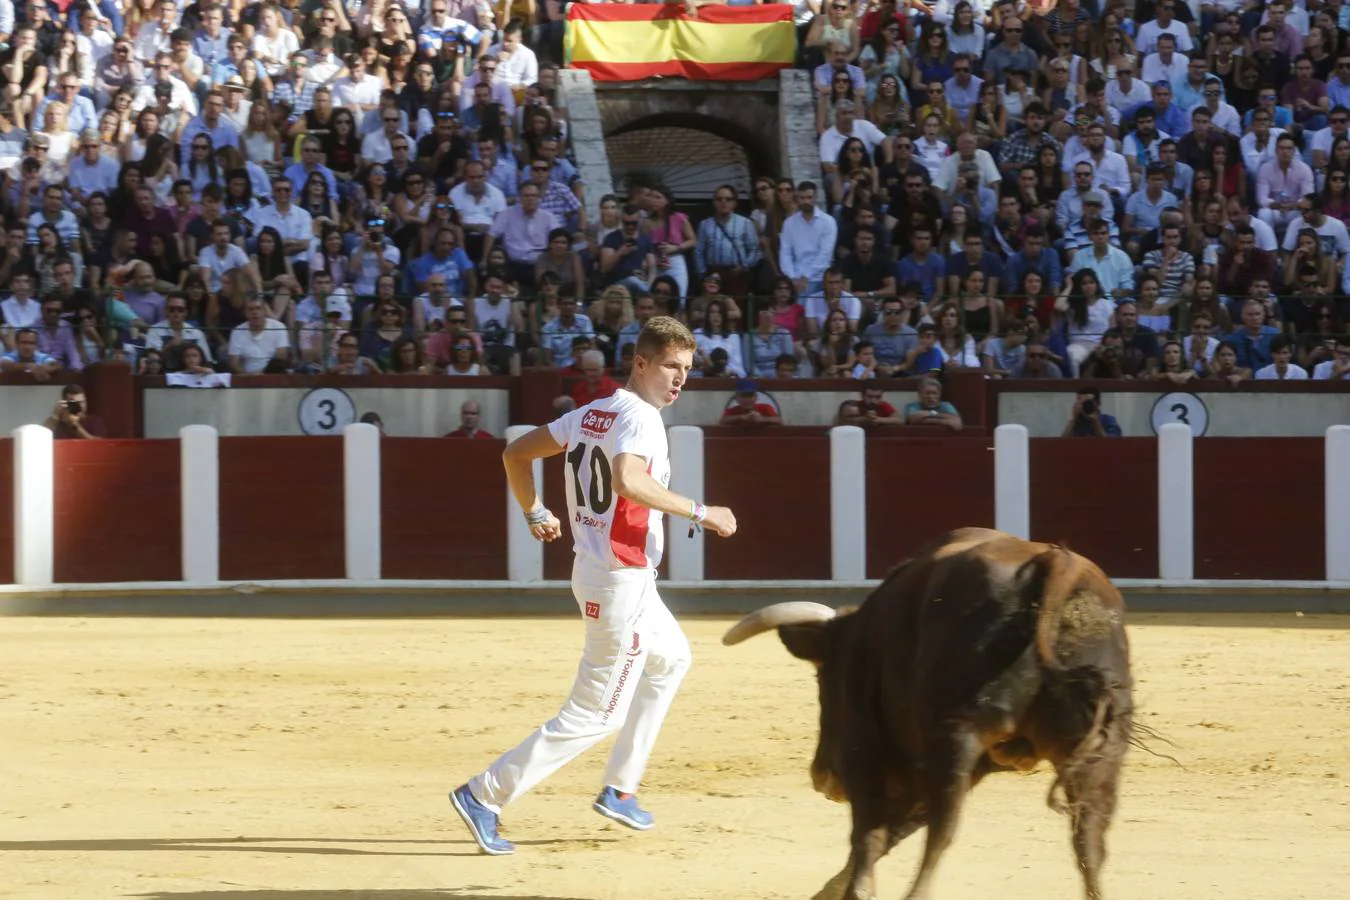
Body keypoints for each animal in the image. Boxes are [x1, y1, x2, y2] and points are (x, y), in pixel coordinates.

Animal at [723, 528, 1134, 900]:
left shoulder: (863, 745)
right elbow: (898, 826)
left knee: (941, 827)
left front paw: (857, 891)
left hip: (956, 734)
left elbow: (871, 829)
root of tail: (1056, 564)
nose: (821, 777)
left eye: (823, 681)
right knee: (1090, 839)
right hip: (1102, 748)